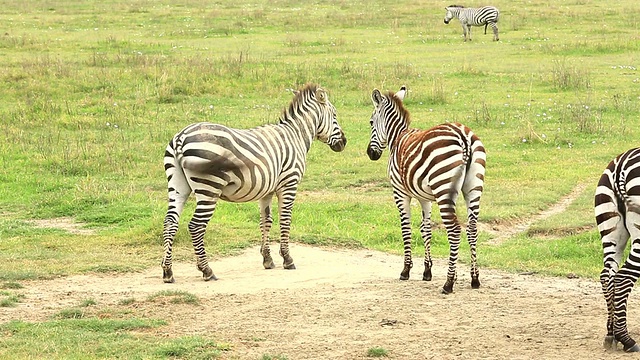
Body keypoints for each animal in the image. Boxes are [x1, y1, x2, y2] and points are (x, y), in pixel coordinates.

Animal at [162, 84, 348, 284]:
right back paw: (207, 270)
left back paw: (167, 271)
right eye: (335, 115)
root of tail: (180, 138)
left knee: (170, 222)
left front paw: (267, 259)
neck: (296, 135)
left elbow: (266, 220)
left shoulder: (267, 189)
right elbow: (285, 219)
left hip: (178, 185)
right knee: (196, 226)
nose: (344, 142)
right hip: (209, 187)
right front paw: (287, 259)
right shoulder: (289, 184)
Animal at [364, 86, 484, 294]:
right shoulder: (425, 198)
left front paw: (406, 270)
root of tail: (463, 136)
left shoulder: (400, 193)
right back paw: (474, 278)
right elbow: (425, 228)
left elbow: (406, 227)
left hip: (443, 189)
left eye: (371, 122)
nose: (371, 154)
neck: (397, 137)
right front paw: (427, 271)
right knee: (472, 228)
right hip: (473, 188)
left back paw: (448, 283)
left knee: (454, 230)